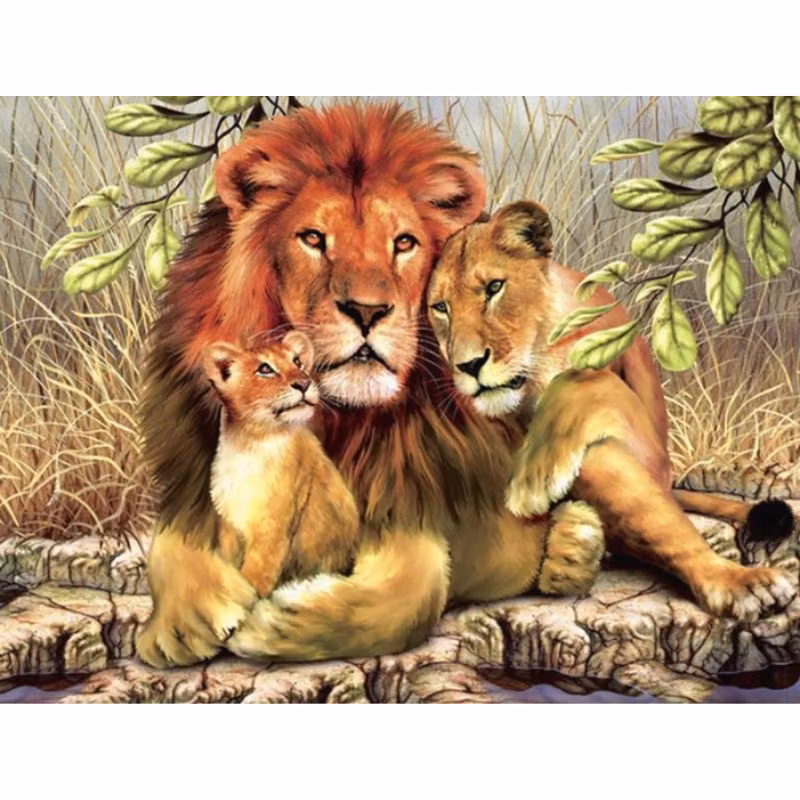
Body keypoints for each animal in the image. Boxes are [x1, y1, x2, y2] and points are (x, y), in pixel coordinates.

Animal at [136, 104, 794, 669]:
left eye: (403, 243)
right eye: (313, 239)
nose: (367, 310)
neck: (346, 419)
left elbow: (415, 590)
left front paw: (276, 623)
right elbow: (172, 544)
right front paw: (179, 621)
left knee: (663, 519)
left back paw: (716, 576)